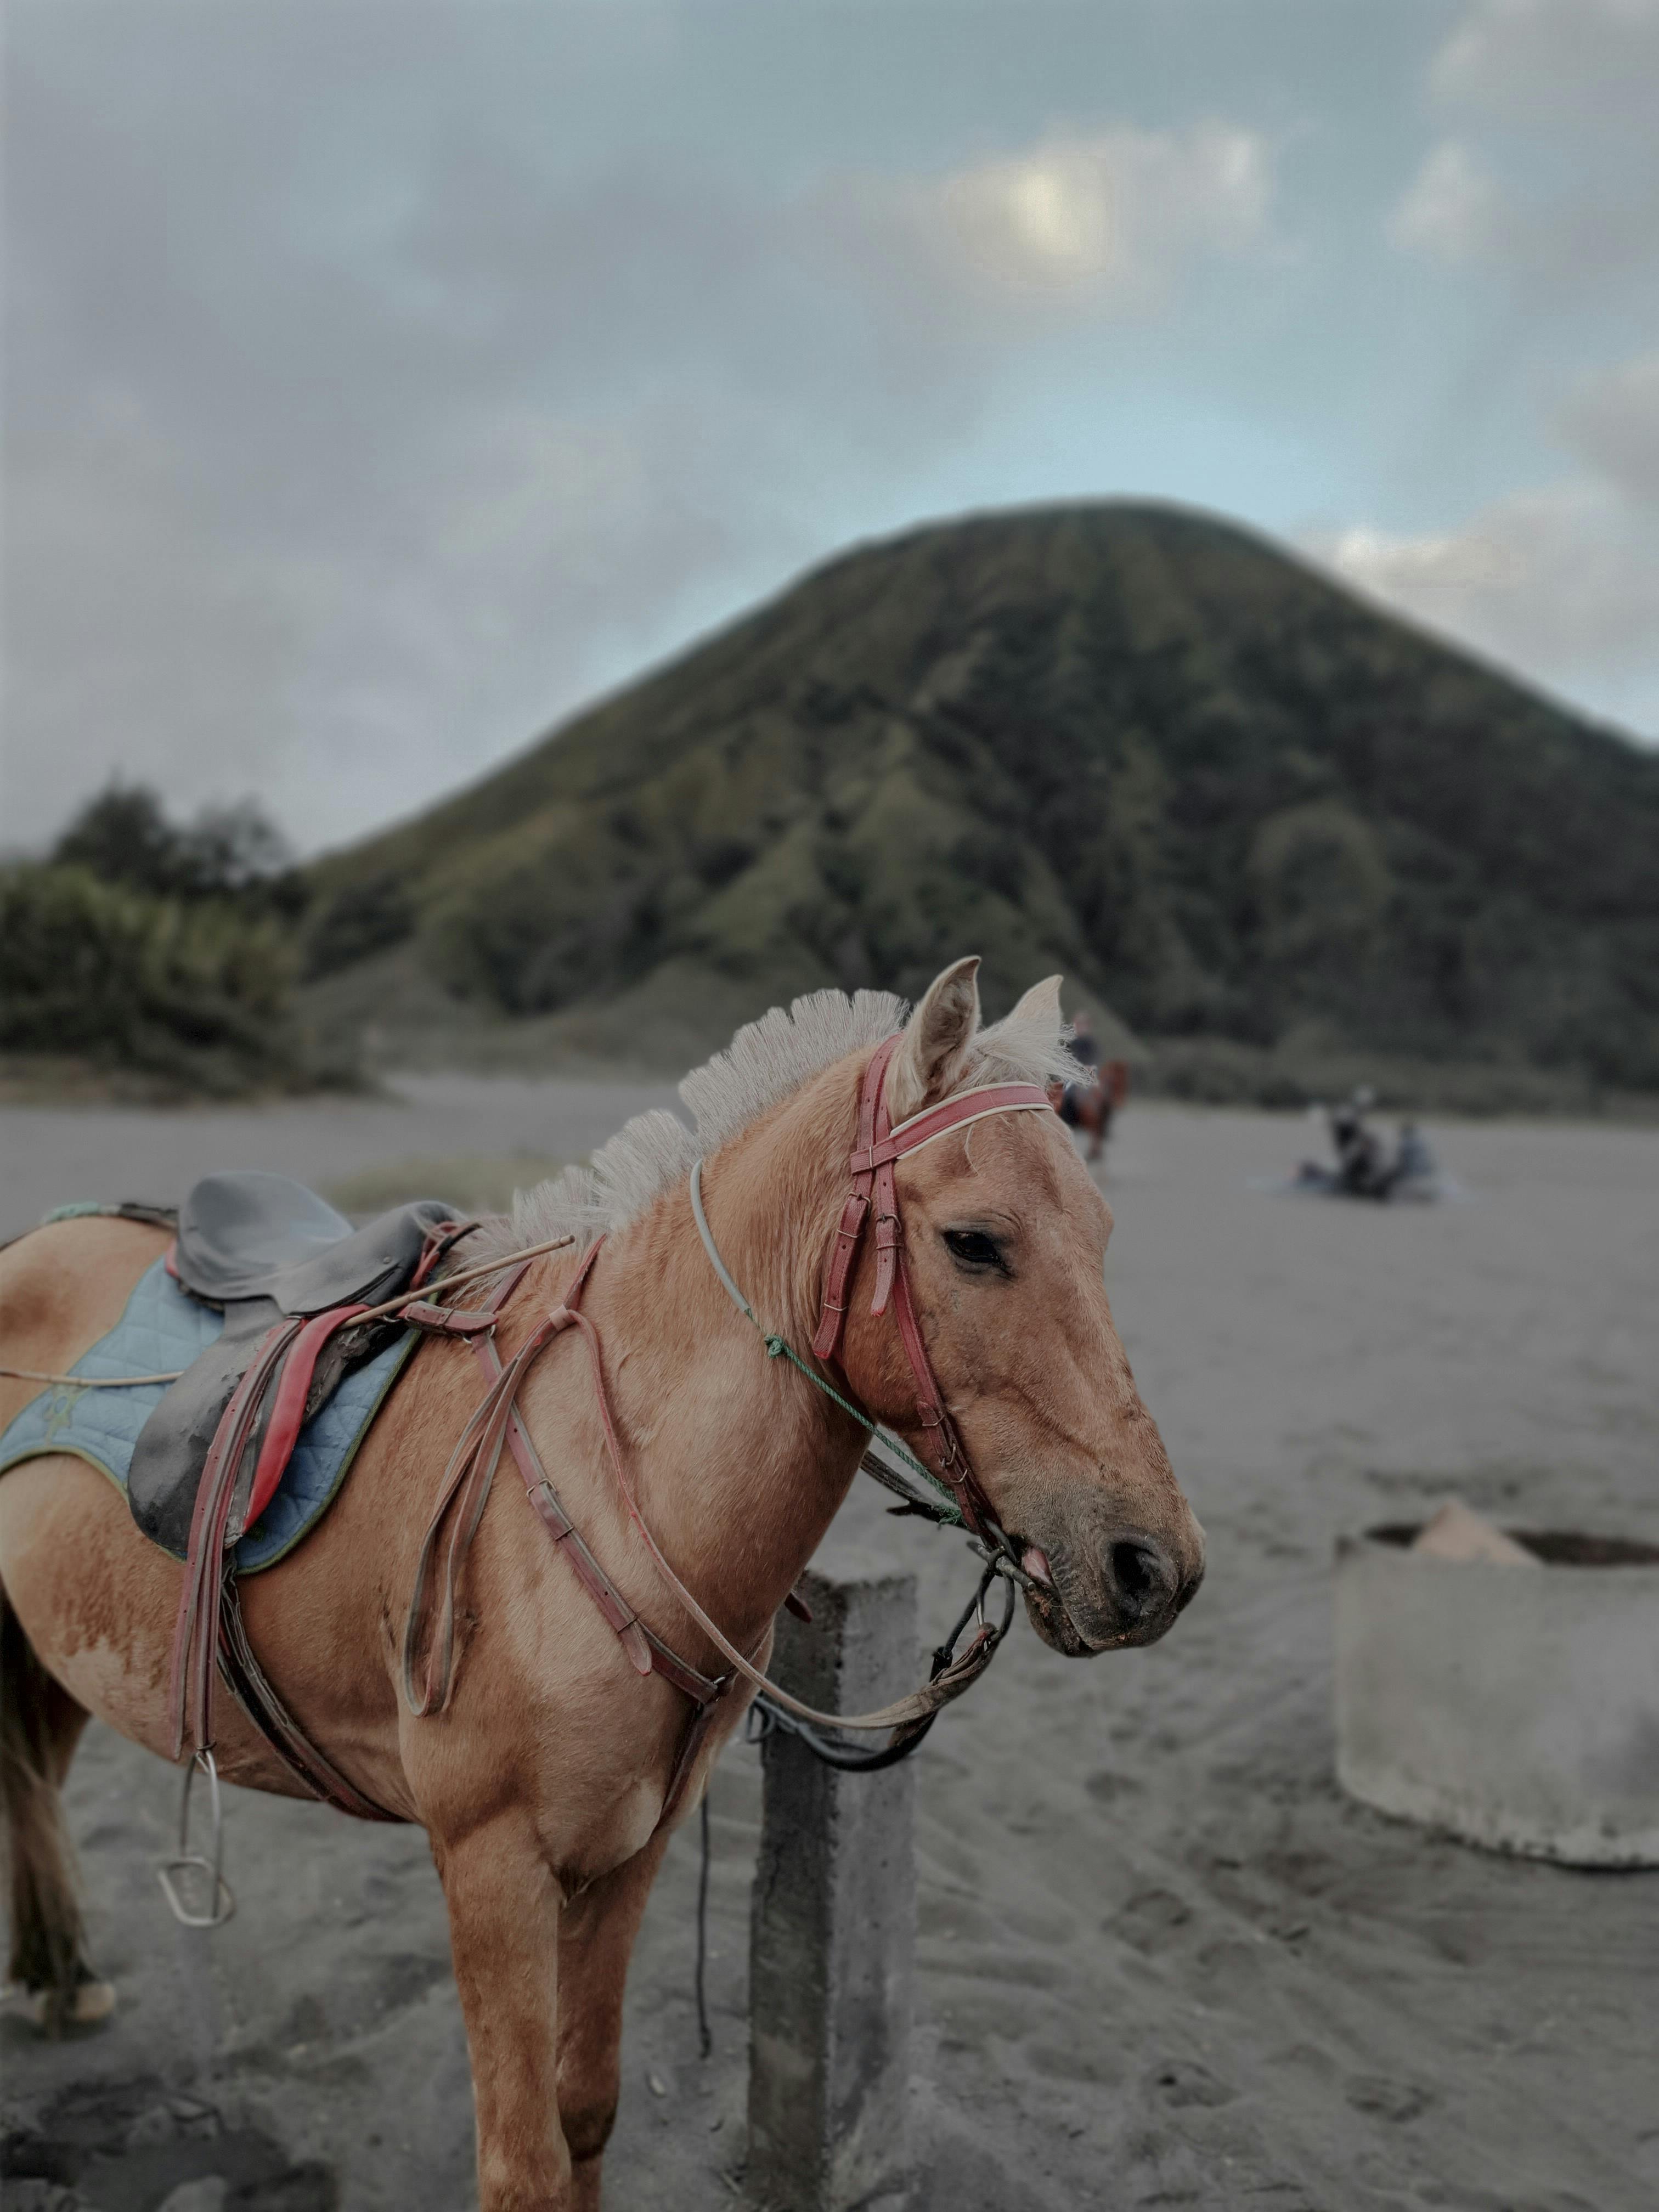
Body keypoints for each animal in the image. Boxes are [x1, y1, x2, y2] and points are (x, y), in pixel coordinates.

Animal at [0, 958, 1204, 2211]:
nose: (1152, 1566)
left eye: (1101, 1232)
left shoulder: (628, 1854)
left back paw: (60, 1972)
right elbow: (523, 2163)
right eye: (974, 1243)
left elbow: (585, 2112)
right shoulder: (492, 1866)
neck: (605, 1493)